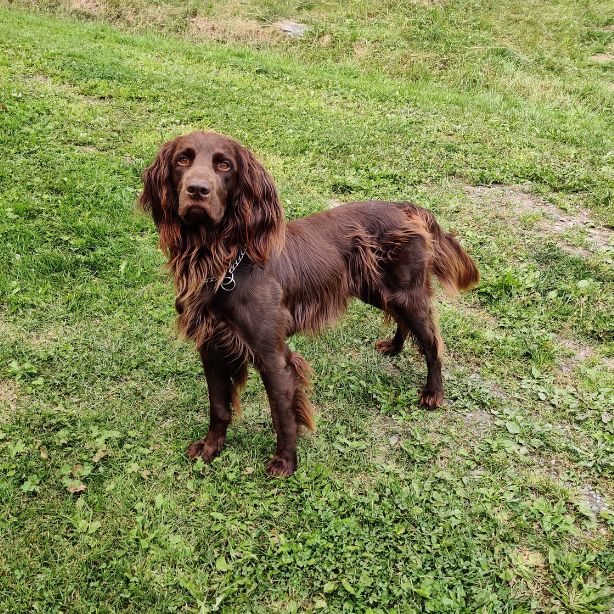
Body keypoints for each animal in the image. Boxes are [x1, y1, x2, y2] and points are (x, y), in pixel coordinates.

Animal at [140, 130, 482, 476]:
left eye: (224, 165)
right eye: (183, 159)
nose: (197, 190)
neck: (223, 263)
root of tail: (405, 206)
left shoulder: (273, 356)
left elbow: (282, 413)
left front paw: (285, 462)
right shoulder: (211, 346)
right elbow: (218, 407)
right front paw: (210, 449)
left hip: (407, 293)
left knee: (432, 343)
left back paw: (433, 393)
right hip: (380, 291)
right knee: (403, 321)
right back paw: (394, 347)